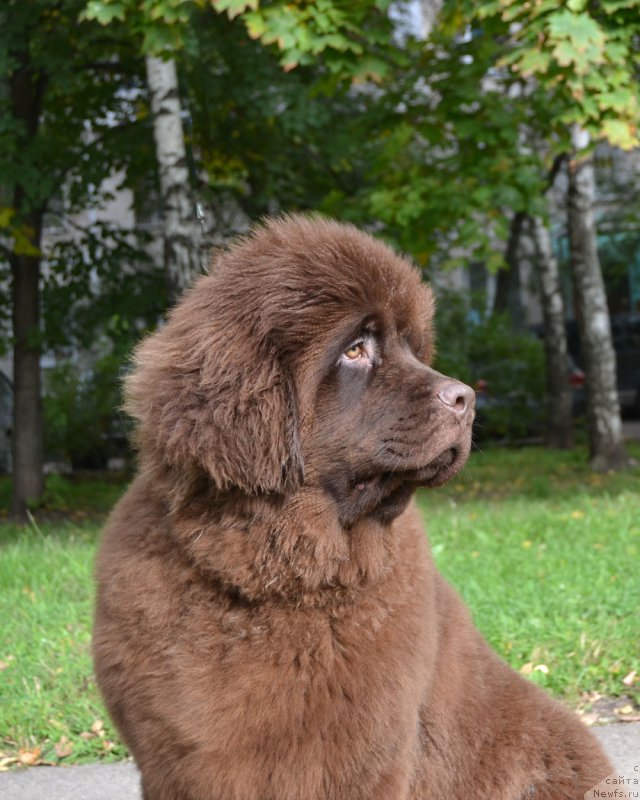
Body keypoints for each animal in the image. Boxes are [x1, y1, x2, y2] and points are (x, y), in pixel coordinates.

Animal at [92, 214, 612, 800]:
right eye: (355, 350)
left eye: (412, 348)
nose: (466, 398)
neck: (280, 577)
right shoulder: (173, 763)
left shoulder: (360, 758)